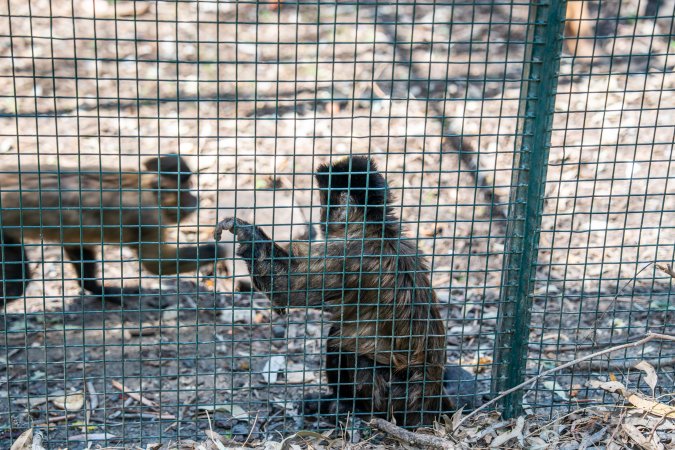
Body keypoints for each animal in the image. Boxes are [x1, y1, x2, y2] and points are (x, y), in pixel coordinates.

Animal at [0, 154, 222, 305]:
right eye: (187, 189)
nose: (195, 199)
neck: (146, 189)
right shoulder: (147, 218)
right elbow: (155, 265)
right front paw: (218, 251)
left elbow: (75, 242)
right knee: (16, 287)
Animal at [215, 156, 486, 427]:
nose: (322, 217)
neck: (376, 230)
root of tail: (433, 401)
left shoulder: (348, 255)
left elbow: (286, 288)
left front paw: (247, 234)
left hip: (393, 395)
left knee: (349, 346)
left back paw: (352, 409)